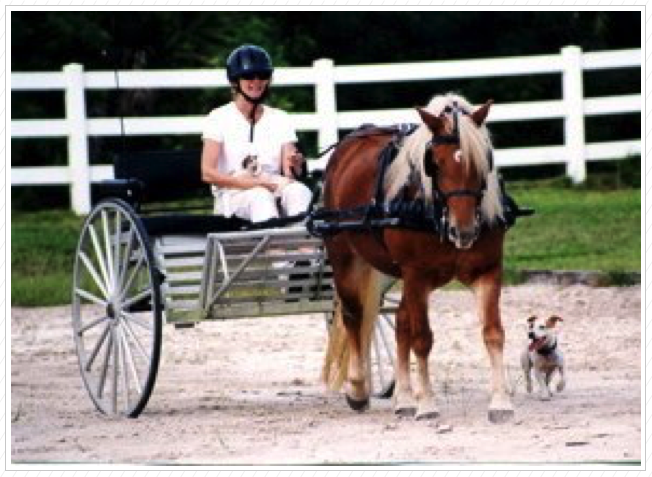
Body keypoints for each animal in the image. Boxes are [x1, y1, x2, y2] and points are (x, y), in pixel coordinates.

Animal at [320, 93, 516, 420]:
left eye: (482, 160)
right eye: (434, 163)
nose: (464, 231)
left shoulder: (487, 270)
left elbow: (493, 332)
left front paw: (501, 402)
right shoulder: (416, 275)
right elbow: (422, 338)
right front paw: (427, 404)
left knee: (399, 322)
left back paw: (403, 398)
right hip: (346, 259)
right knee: (353, 316)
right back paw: (359, 389)